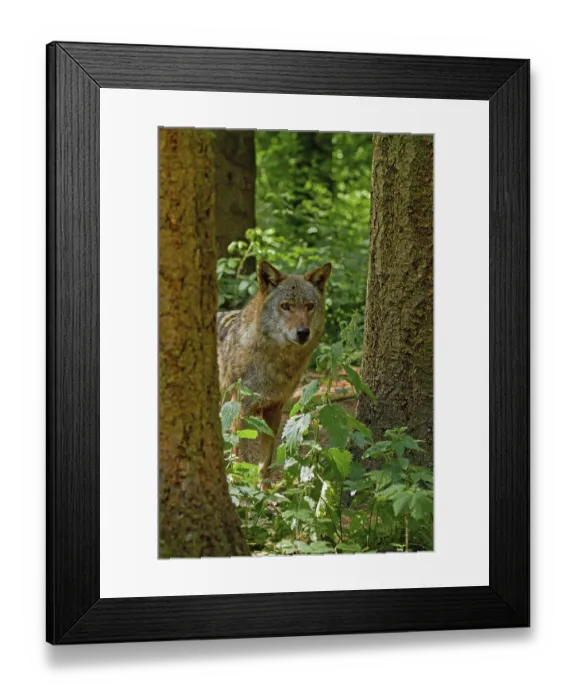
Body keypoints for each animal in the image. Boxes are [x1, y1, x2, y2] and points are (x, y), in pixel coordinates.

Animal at [217, 260, 332, 485]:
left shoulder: (274, 410)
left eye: (309, 306)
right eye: (286, 306)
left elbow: (265, 464)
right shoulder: (241, 411)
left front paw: (264, 491)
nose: (303, 333)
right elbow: (240, 459)